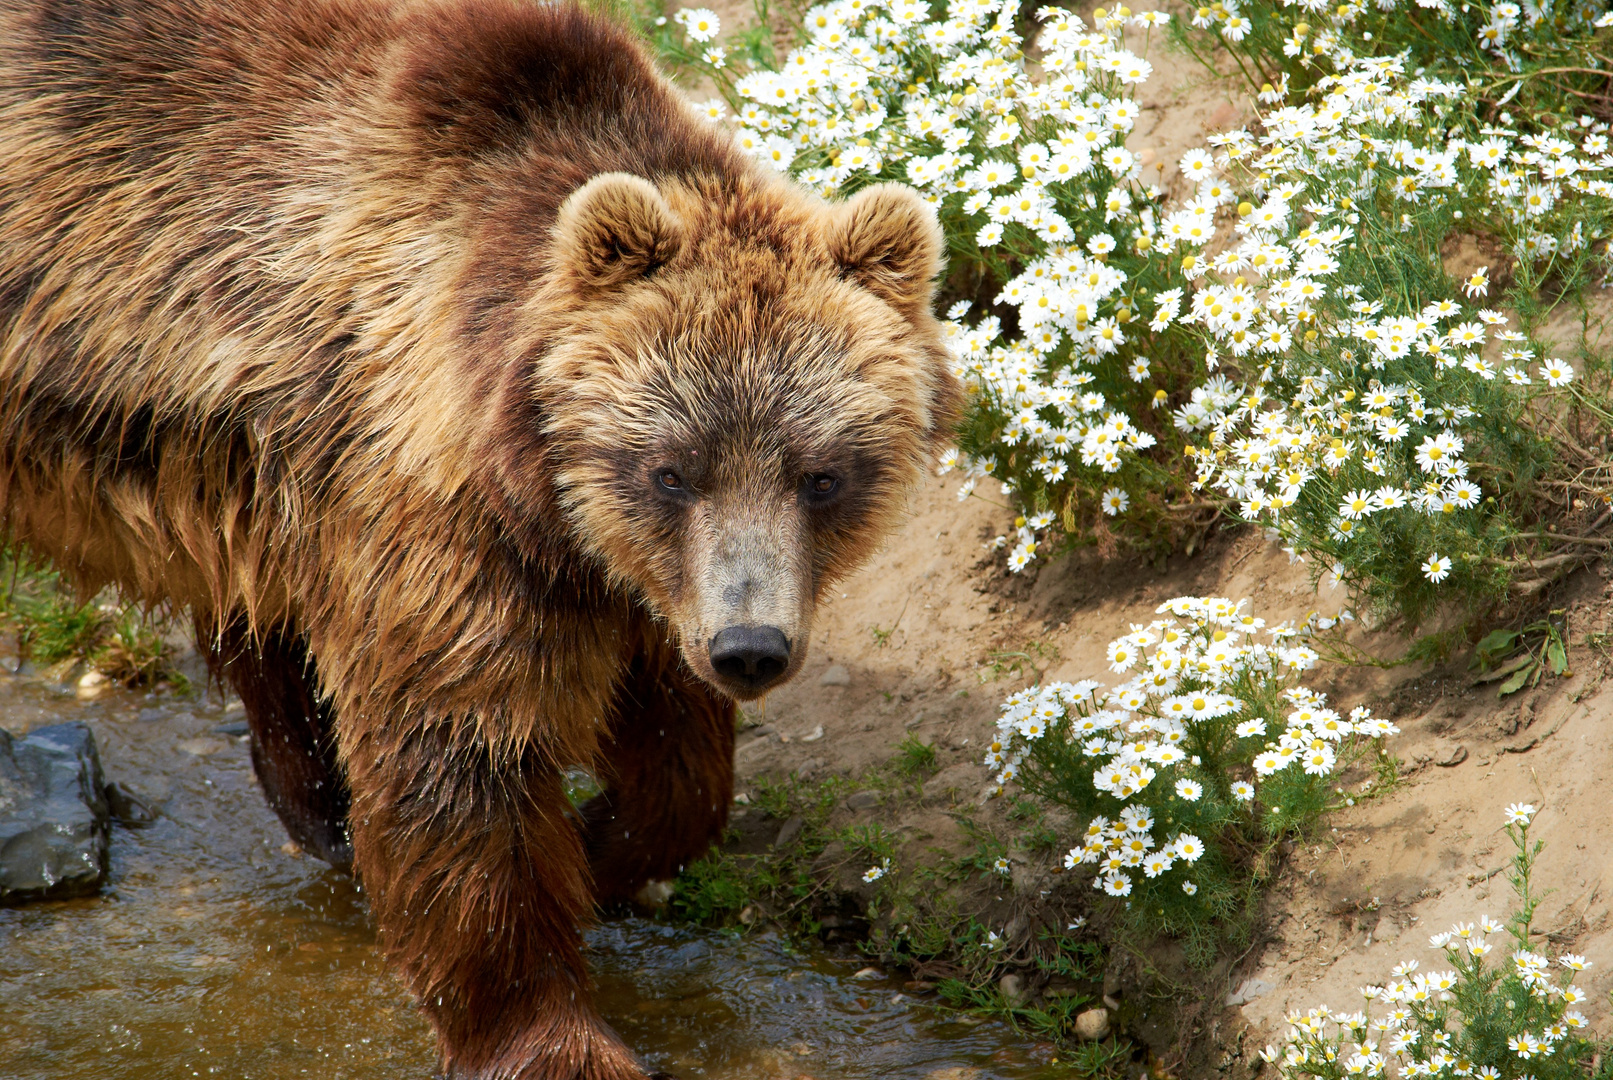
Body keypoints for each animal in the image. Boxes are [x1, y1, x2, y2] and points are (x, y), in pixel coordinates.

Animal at [0, 0, 954, 1076]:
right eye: (671, 469)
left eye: (820, 474)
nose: (748, 648)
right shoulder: (438, 504)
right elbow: (461, 762)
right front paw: (555, 1033)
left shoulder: (617, 577)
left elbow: (676, 755)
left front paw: (602, 841)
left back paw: (313, 795)